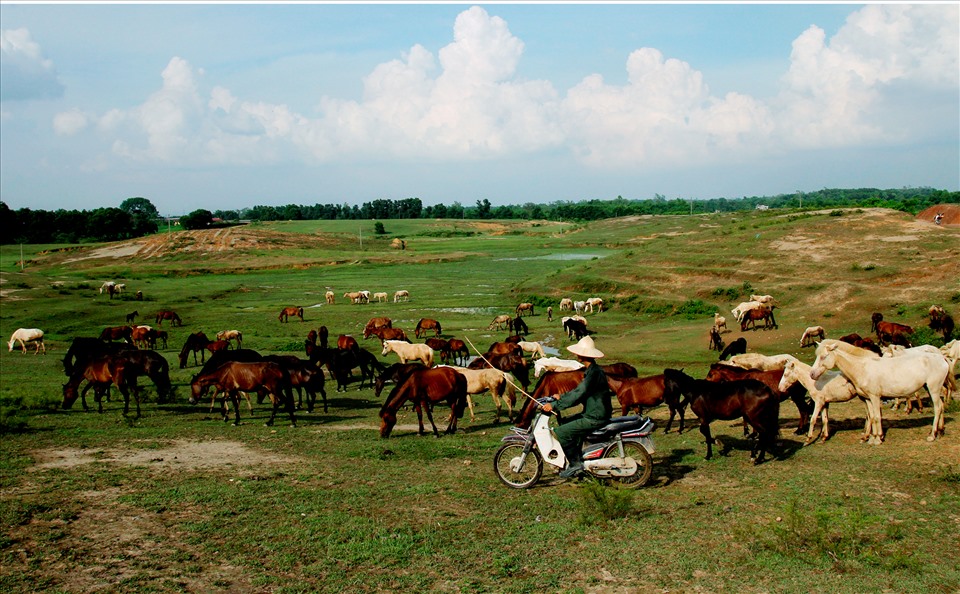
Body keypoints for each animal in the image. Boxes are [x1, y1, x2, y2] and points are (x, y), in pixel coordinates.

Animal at [808, 338, 952, 440]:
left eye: (823, 356)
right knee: (941, 406)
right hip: (931, 388)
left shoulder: (875, 396)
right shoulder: (867, 398)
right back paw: (940, 431)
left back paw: (932, 435)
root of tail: (942, 358)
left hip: (933, 389)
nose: (812, 374)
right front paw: (872, 436)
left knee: (937, 408)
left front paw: (877, 438)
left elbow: (876, 416)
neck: (861, 367)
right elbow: (872, 416)